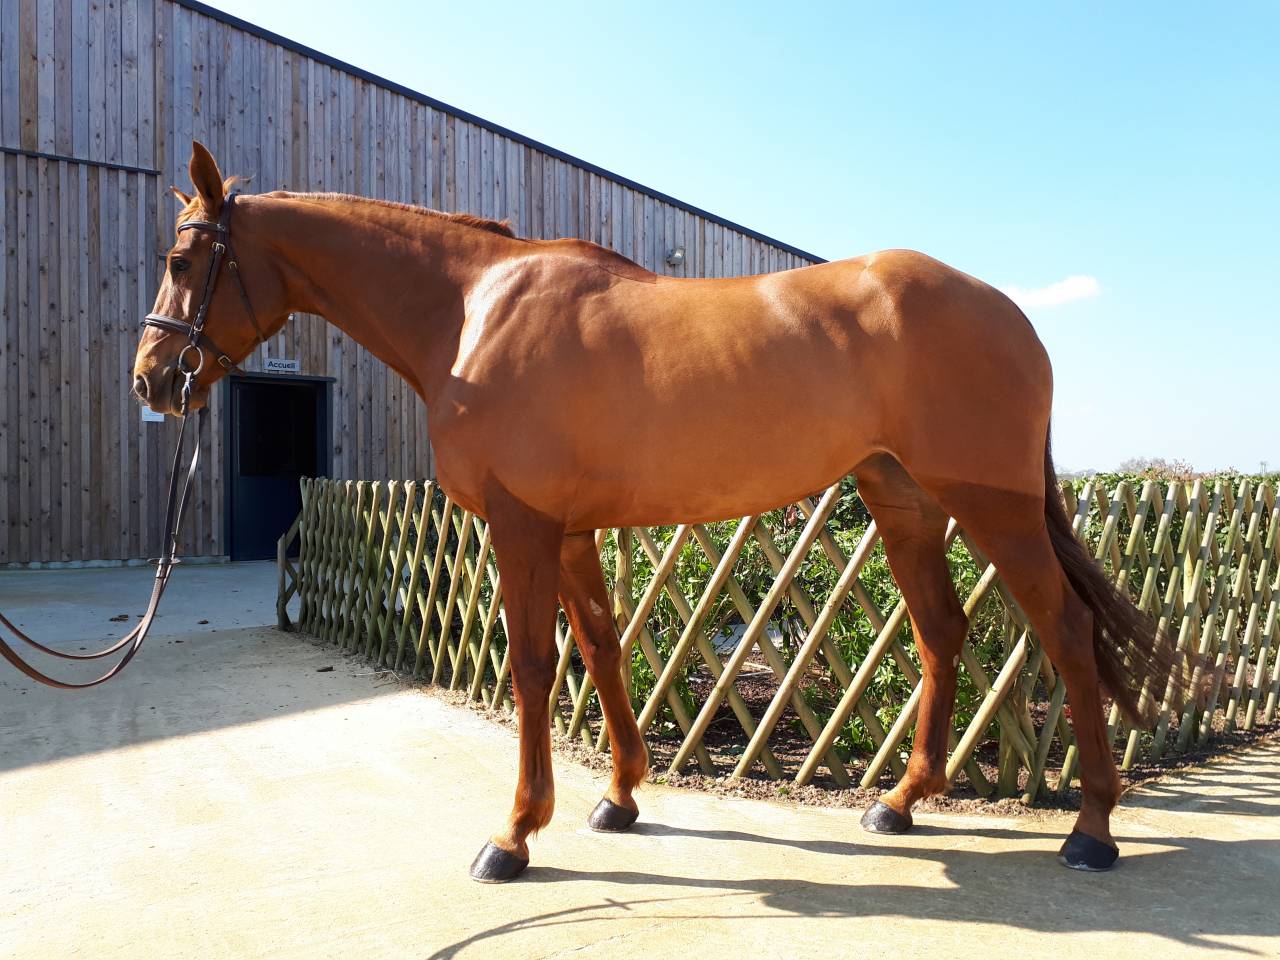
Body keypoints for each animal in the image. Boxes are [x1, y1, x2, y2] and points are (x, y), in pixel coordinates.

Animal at [133, 141, 1188, 882]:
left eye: (186, 257)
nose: (153, 379)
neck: (472, 313)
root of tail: (1012, 314)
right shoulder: (569, 530)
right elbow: (601, 648)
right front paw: (619, 799)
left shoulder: (520, 525)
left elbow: (533, 666)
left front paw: (514, 835)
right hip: (905, 502)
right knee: (941, 631)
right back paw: (899, 803)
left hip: (990, 507)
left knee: (1066, 630)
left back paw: (1093, 830)